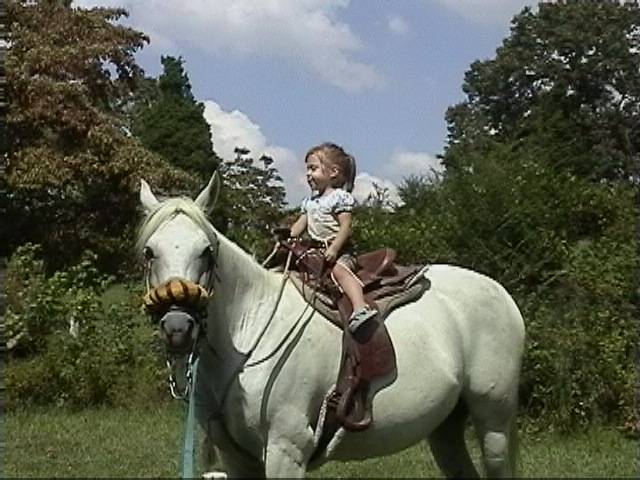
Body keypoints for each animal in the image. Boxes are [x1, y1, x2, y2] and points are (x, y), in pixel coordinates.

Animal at [135, 172, 524, 476]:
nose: (177, 326)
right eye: (149, 252)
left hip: (494, 422)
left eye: (206, 252)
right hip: (446, 427)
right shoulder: (236, 459)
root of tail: (503, 295)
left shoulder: (286, 448)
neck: (250, 334)